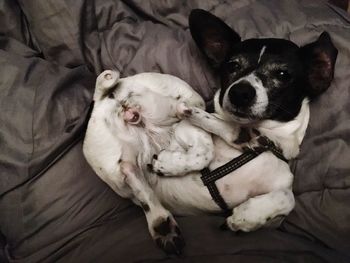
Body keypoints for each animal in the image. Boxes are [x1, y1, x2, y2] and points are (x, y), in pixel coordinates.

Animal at [82, 9, 336, 256]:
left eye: (283, 75)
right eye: (232, 65)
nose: (240, 93)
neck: (266, 136)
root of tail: (105, 99)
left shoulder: (278, 213)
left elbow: (288, 198)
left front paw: (245, 217)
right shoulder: (185, 127)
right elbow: (205, 150)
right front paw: (170, 163)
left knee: (135, 178)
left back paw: (163, 225)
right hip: (176, 103)